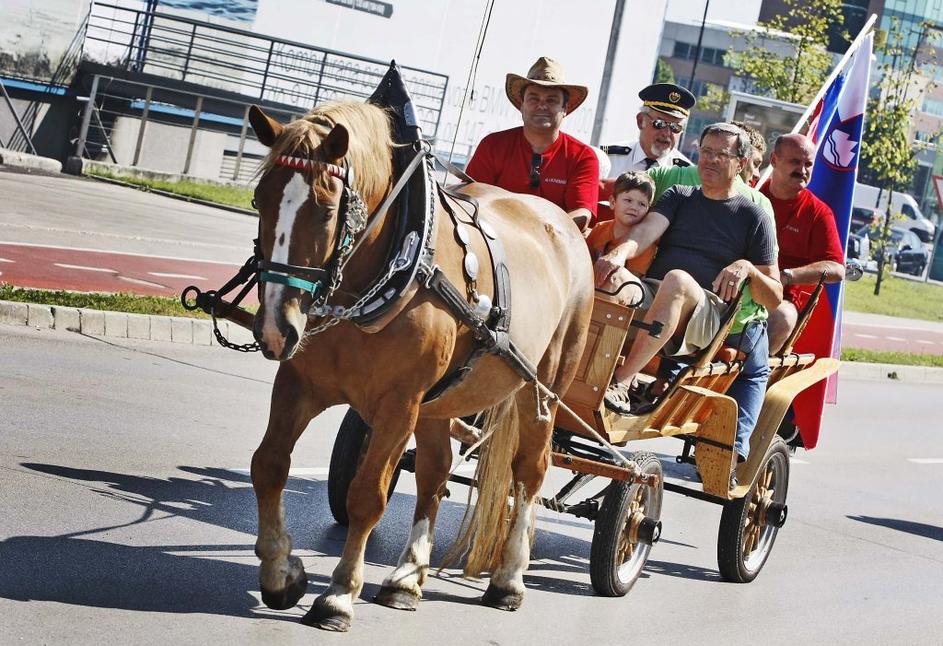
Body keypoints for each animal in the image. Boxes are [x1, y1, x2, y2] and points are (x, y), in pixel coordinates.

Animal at [247, 101, 592, 632]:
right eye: (259, 199)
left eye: (326, 210)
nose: (273, 328)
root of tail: (566, 223)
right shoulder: (299, 382)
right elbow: (268, 465)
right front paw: (281, 572)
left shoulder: (399, 403)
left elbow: (368, 494)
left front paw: (338, 595)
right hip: (441, 400)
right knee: (435, 472)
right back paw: (407, 577)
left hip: (542, 390)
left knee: (530, 473)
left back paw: (509, 579)